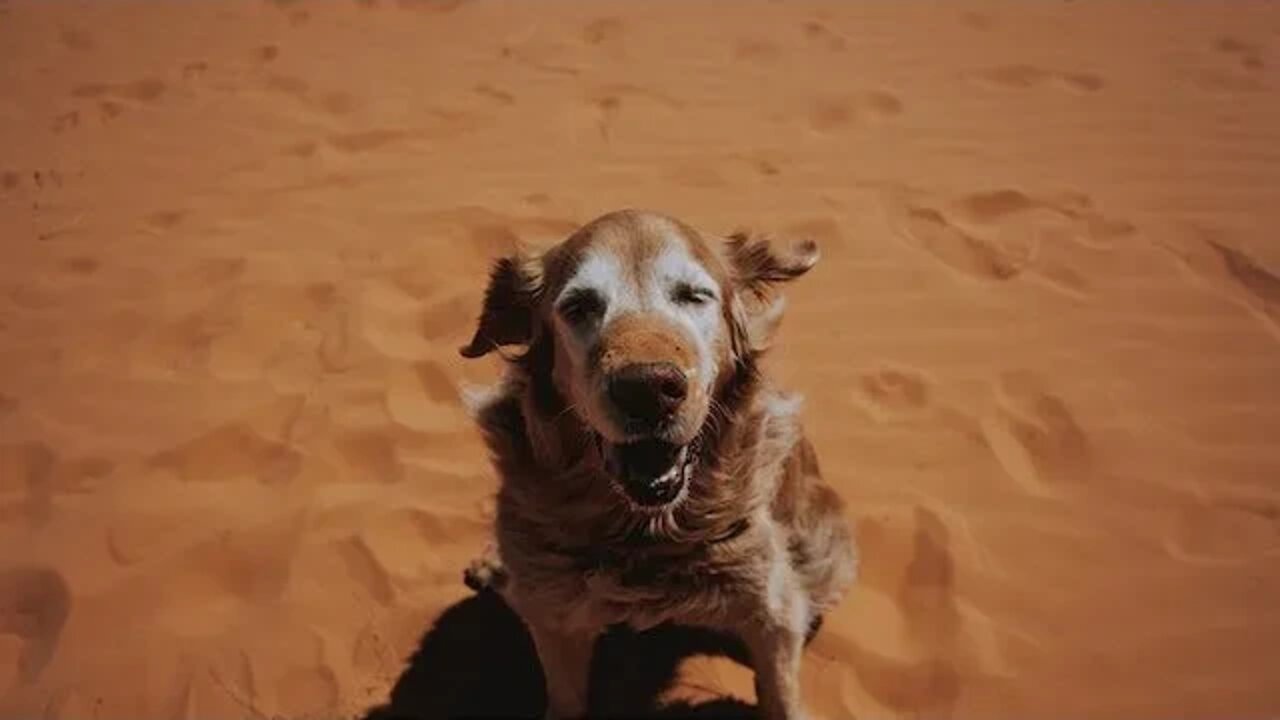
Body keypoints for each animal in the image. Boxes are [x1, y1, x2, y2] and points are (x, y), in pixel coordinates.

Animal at [455, 208, 855, 717]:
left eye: (695, 296)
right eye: (579, 306)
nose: (646, 389)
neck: (646, 533)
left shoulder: (772, 610)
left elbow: (781, 695)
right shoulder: (556, 615)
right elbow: (565, 697)